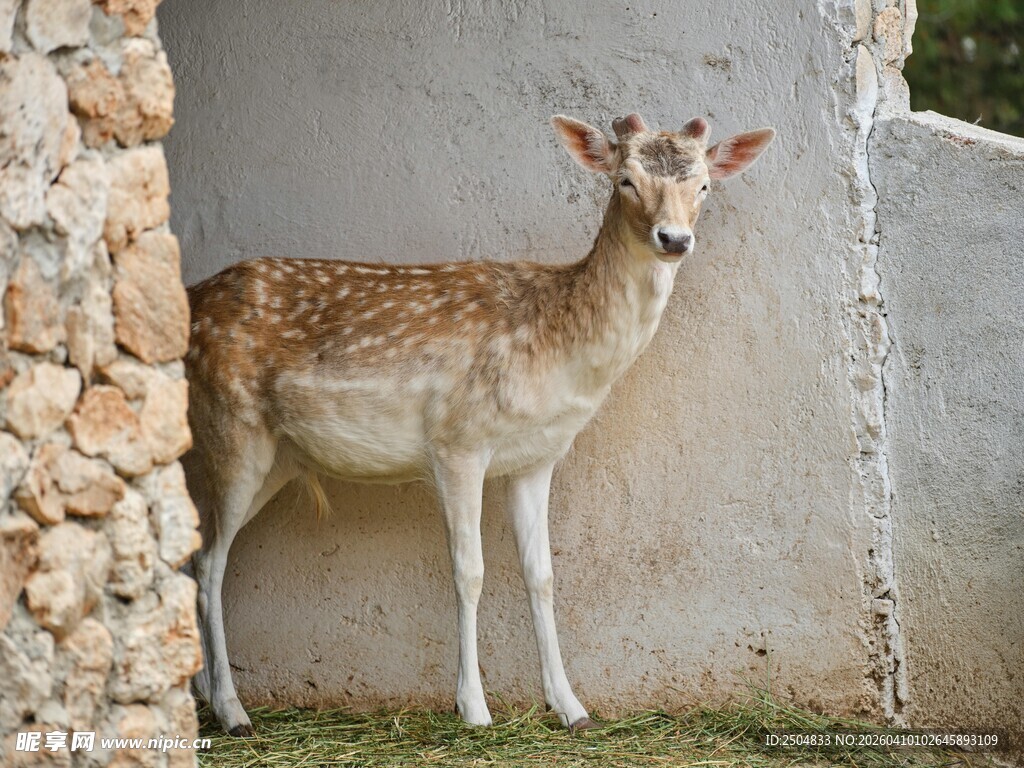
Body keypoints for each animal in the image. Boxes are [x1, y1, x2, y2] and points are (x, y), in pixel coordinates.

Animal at [182, 112, 775, 737]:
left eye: (704, 184)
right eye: (626, 181)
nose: (674, 239)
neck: (560, 355)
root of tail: (190, 300)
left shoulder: (539, 456)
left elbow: (542, 574)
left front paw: (572, 708)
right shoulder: (458, 440)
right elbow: (469, 571)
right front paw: (474, 708)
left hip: (277, 458)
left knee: (196, 556)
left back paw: (201, 693)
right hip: (229, 430)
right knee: (210, 562)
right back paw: (232, 711)